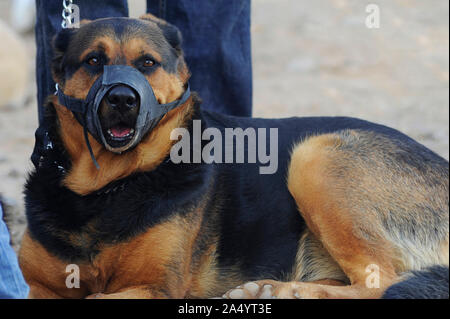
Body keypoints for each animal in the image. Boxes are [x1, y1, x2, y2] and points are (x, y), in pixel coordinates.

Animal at [18, 15, 450, 300]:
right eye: (93, 61)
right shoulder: (40, 287)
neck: (105, 191)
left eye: (147, 63)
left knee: (382, 282)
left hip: (315, 156)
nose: (122, 99)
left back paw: (283, 290)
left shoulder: (155, 288)